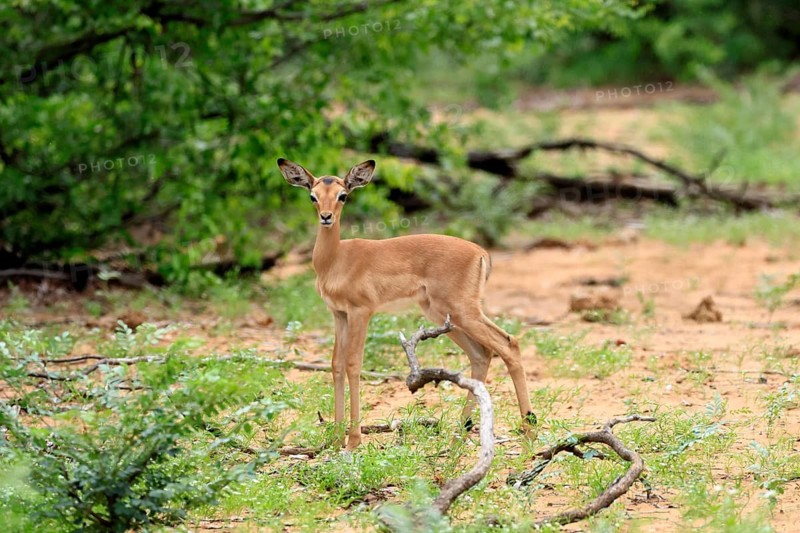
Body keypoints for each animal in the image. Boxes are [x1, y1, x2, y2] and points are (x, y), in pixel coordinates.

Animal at [277, 158, 535, 449]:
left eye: (343, 195)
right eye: (313, 196)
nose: (326, 217)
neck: (336, 260)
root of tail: (481, 253)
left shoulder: (361, 312)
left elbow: (354, 364)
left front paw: (353, 440)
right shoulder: (338, 314)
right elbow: (336, 365)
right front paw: (334, 438)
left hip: (463, 312)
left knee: (509, 344)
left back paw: (529, 430)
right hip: (443, 316)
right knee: (482, 354)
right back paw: (460, 431)